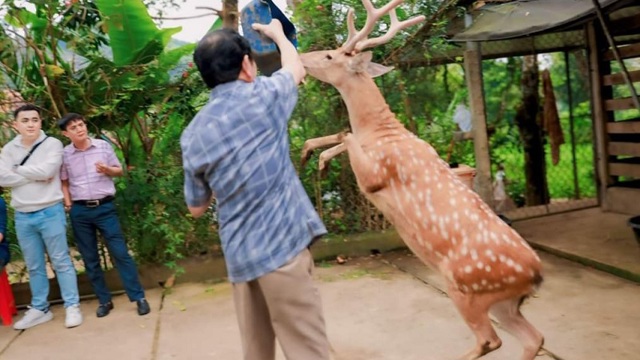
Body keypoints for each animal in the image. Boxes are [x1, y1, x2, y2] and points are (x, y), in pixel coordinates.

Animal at [298, 0, 544, 360]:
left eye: (331, 56)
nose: (301, 57)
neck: (386, 132)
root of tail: (537, 276)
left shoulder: (376, 176)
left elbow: (346, 135)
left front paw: (319, 160)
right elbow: (341, 134)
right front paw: (310, 155)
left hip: (465, 287)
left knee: (490, 339)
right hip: (505, 303)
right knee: (532, 338)